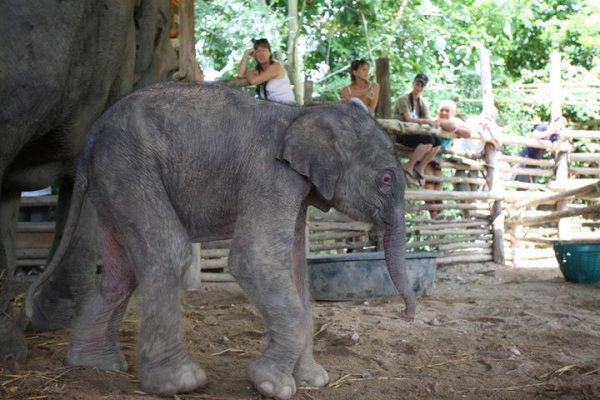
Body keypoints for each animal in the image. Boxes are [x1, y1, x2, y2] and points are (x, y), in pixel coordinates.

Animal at [25, 80, 414, 396]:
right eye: (385, 180)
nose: (407, 314)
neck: (301, 112)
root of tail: (91, 137)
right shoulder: (271, 176)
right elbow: (254, 258)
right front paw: (272, 385)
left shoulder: (296, 190)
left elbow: (295, 271)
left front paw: (313, 380)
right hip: (128, 167)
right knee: (168, 252)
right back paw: (180, 383)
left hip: (111, 182)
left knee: (122, 274)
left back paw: (94, 365)